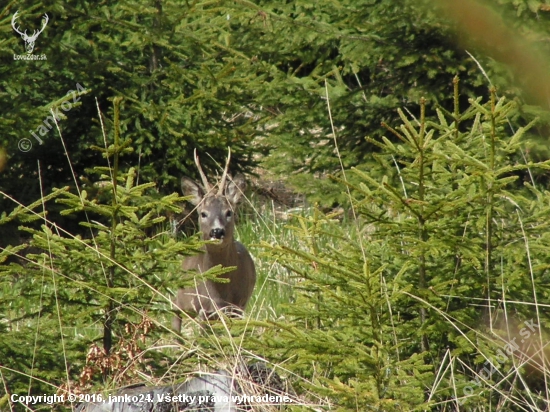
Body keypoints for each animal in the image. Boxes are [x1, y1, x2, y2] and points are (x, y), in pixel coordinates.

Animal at [171, 148, 258, 332]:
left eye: (229, 212)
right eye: (203, 213)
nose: (217, 231)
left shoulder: (237, 307)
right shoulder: (203, 308)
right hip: (182, 298)